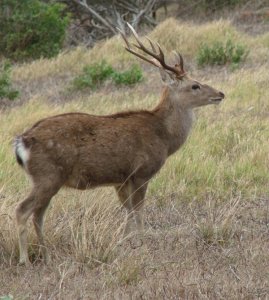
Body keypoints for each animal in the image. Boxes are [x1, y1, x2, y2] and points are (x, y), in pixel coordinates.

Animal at [14, 23, 224, 264]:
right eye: (194, 86)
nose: (220, 93)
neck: (163, 136)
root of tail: (22, 142)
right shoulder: (142, 171)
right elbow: (138, 211)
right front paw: (142, 246)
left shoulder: (121, 179)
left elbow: (128, 212)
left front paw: (124, 244)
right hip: (48, 175)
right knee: (23, 210)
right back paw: (24, 259)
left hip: (47, 179)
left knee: (38, 214)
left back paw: (47, 256)